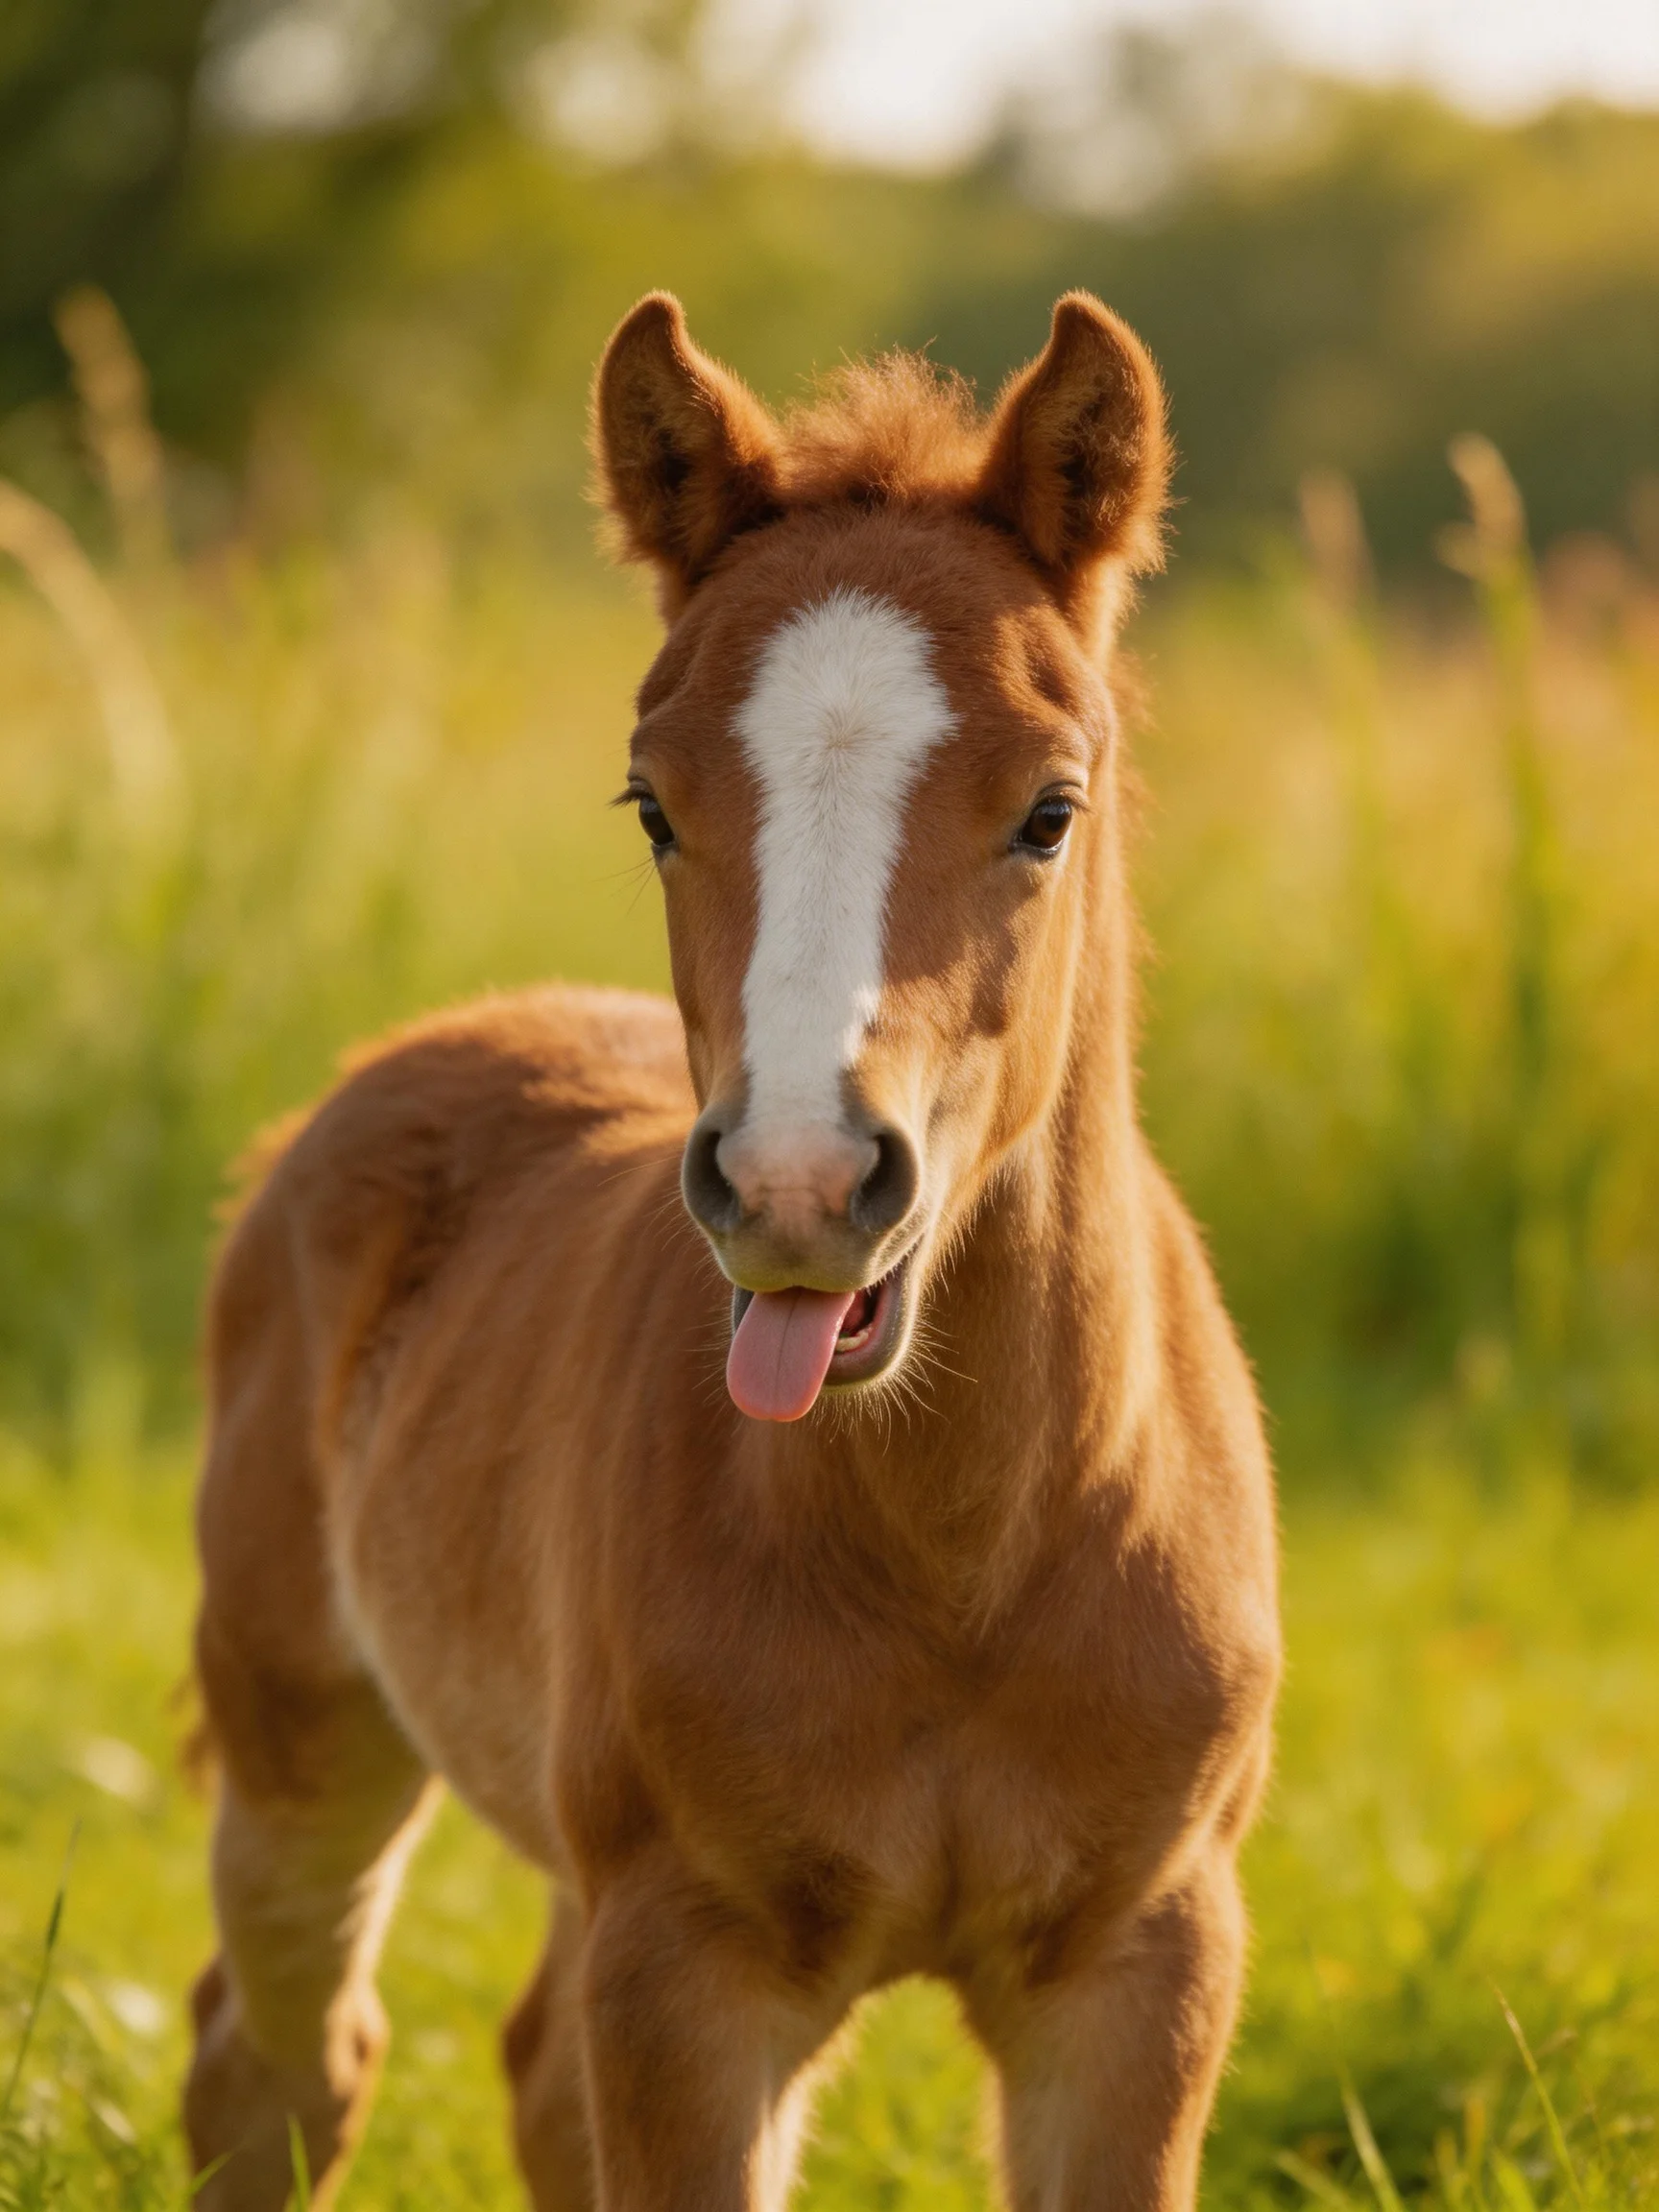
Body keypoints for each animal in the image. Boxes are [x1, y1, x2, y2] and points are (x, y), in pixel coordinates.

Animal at [183, 290, 1280, 2212]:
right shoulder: (689, 1967)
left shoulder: (1144, 1966)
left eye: (1050, 808)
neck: (962, 1562)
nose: (795, 1186)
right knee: (279, 2060)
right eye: (650, 801)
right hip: (306, 1737)